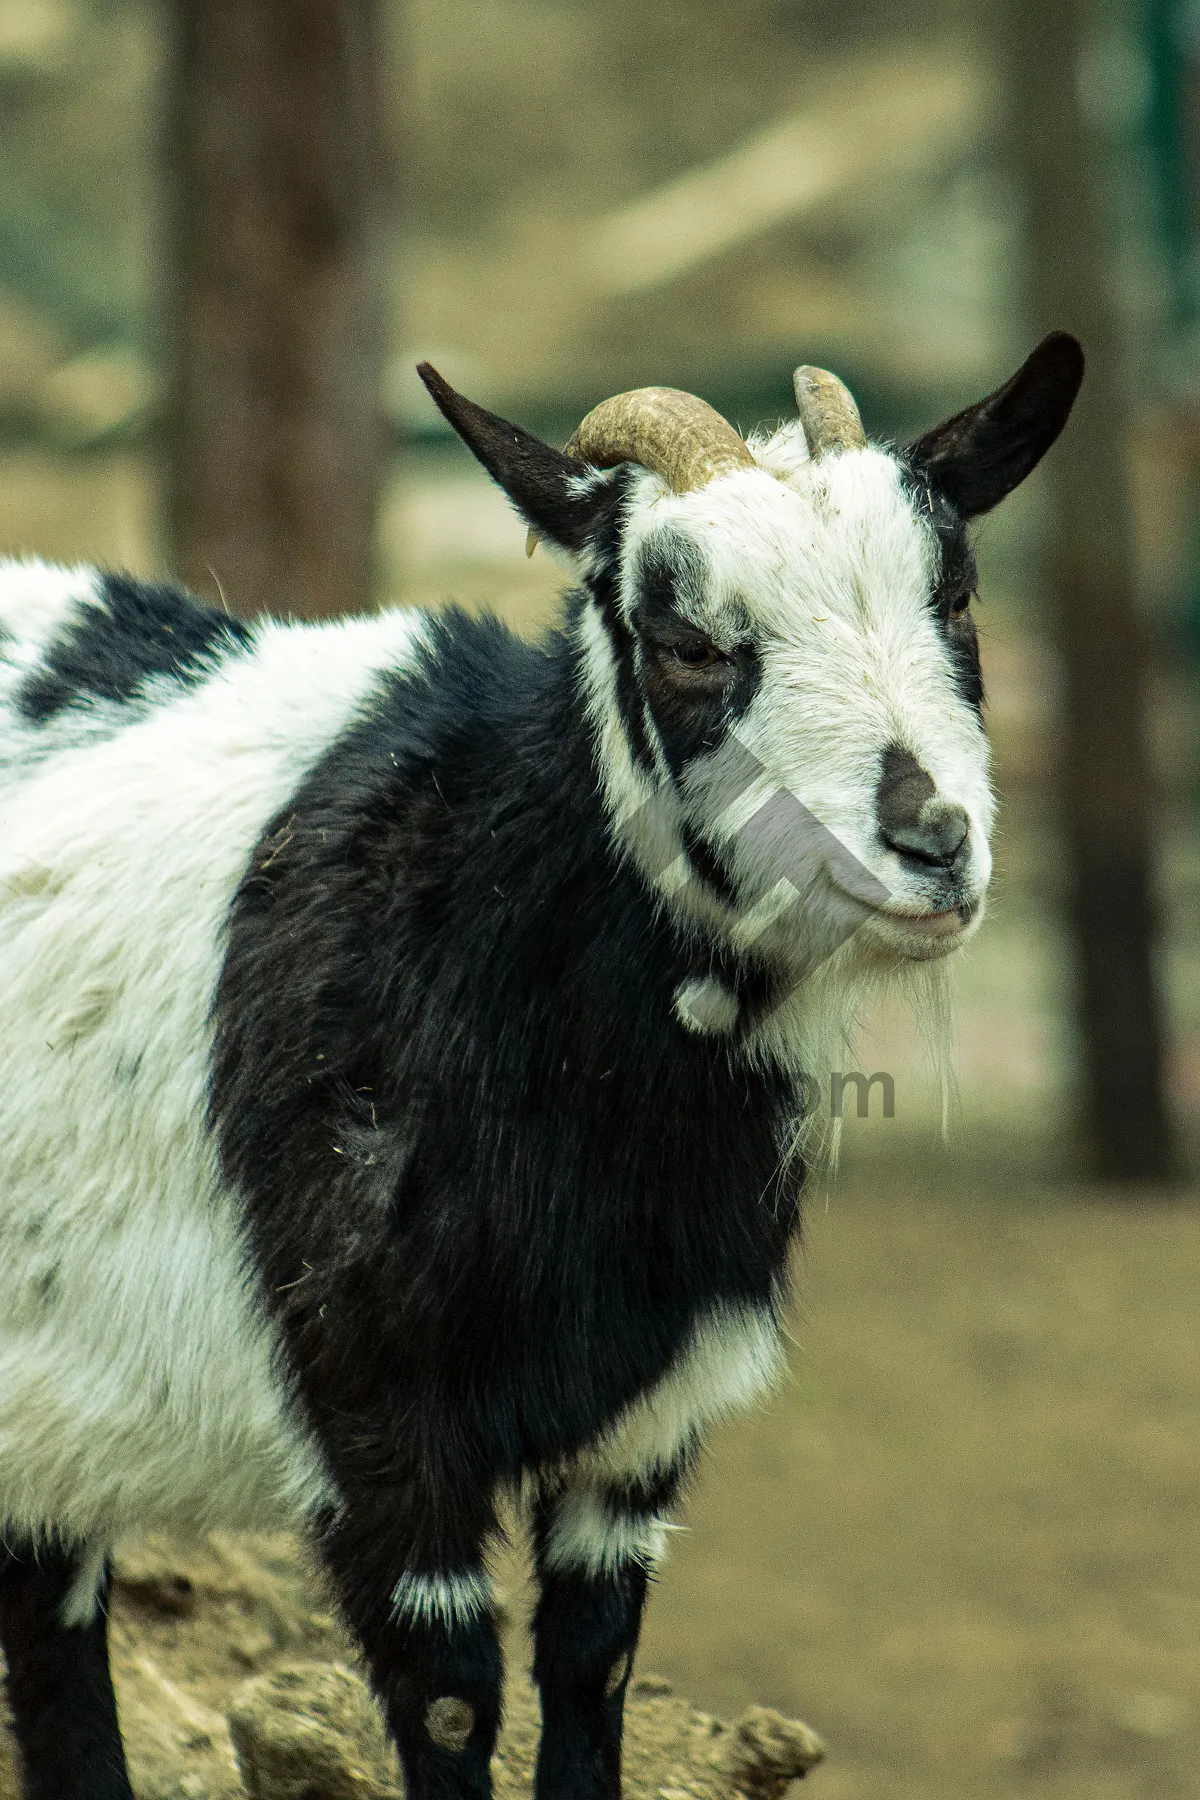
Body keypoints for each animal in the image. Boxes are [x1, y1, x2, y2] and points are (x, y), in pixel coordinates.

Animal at [0, 331, 1086, 1792]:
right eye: (684, 639)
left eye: (956, 596)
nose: (933, 842)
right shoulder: (373, 1422)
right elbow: (458, 1698)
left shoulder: (643, 1431)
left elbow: (591, 1666)